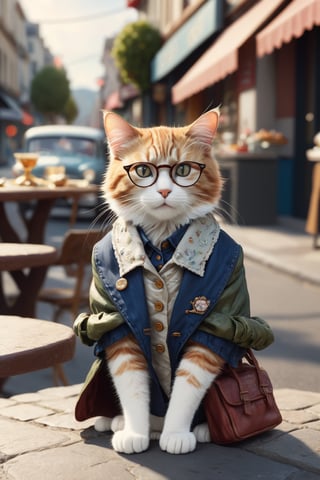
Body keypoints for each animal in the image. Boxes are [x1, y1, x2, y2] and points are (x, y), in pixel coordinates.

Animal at [74, 108, 274, 454]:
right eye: (143, 170)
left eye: (183, 170)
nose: (165, 191)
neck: (162, 241)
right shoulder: (116, 322)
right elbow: (131, 381)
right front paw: (135, 432)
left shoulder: (215, 322)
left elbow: (188, 384)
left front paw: (177, 434)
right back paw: (121, 422)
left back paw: (200, 429)